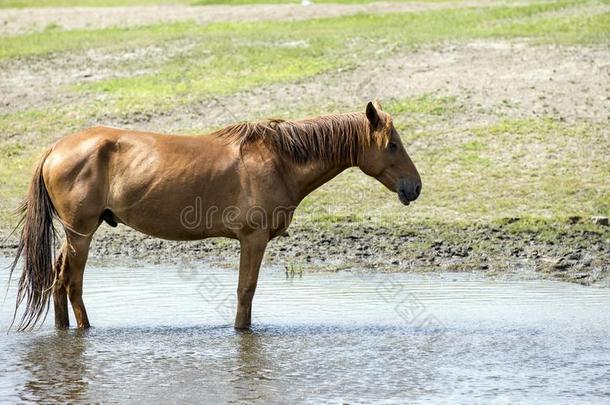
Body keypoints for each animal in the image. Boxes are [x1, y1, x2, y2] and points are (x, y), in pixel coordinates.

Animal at [9, 100, 418, 328]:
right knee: (71, 284)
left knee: (58, 283)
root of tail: (55, 148)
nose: (414, 187)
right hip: (81, 233)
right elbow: (245, 292)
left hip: (76, 234)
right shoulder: (253, 239)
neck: (279, 160)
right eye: (392, 145)